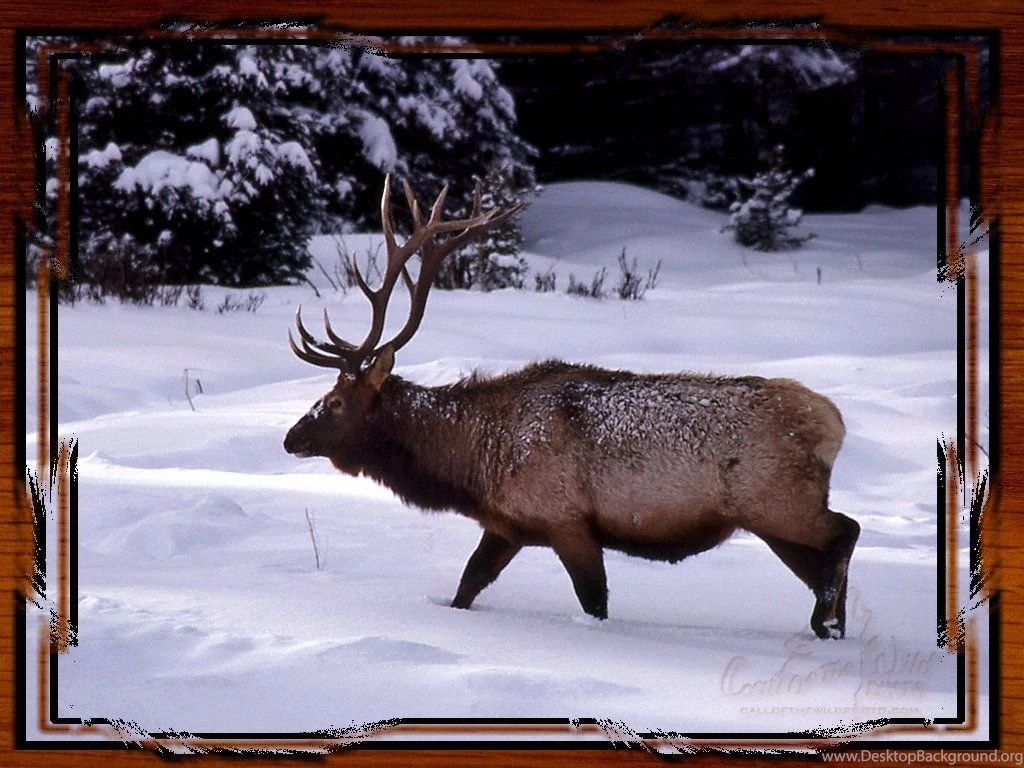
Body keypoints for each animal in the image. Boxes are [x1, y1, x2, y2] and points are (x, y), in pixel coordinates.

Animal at [283, 175, 860, 639]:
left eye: (335, 401)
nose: (291, 438)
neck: (476, 462)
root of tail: (832, 425)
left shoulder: (567, 521)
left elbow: (594, 603)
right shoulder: (507, 525)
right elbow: (467, 585)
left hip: (777, 502)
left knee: (845, 532)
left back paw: (825, 619)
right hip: (773, 518)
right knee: (825, 559)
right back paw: (831, 627)